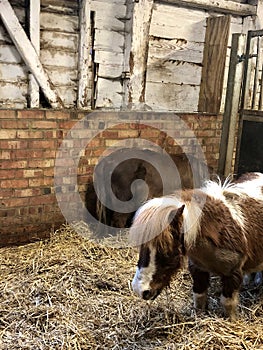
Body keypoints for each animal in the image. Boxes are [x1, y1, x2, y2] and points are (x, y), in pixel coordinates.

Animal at [131, 172, 263, 320]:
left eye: (166, 252)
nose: (139, 289)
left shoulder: (233, 275)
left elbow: (227, 303)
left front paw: (232, 321)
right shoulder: (198, 269)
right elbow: (199, 297)